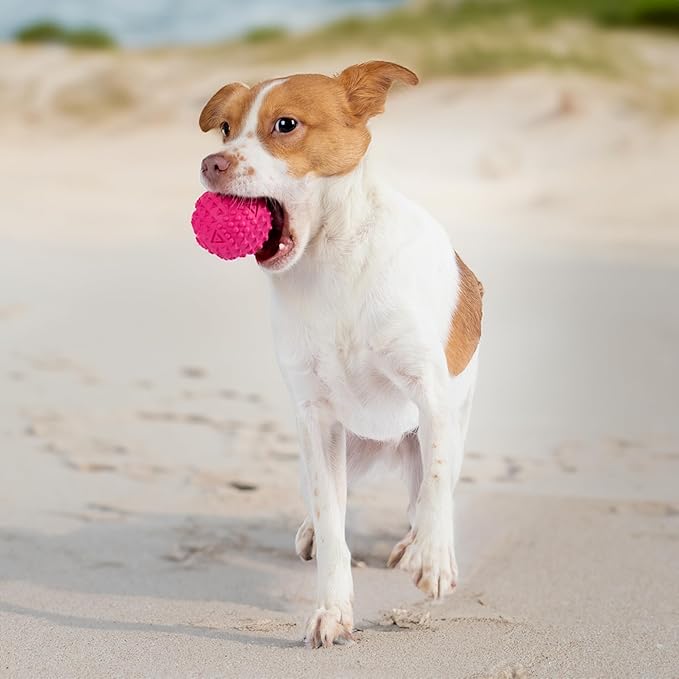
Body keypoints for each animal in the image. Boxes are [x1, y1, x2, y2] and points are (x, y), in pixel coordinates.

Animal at [197, 62, 484, 648]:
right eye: (226, 129)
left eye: (286, 125)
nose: (211, 164)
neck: (333, 260)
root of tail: (385, 444)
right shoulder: (317, 418)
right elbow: (332, 520)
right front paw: (331, 608)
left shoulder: (430, 395)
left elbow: (437, 486)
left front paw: (433, 558)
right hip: (333, 448)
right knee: (323, 499)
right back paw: (314, 530)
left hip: (435, 429)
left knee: (426, 490)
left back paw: (416, 543)